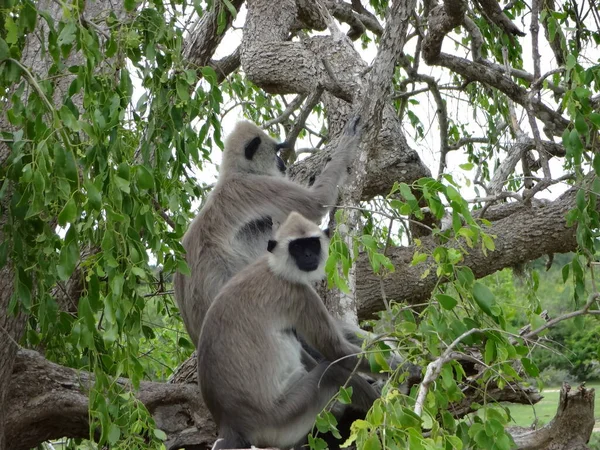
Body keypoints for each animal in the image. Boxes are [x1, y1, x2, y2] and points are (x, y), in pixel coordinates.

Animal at [173, 117, 360, 348]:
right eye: (275, 152)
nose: (282, 163)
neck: (235, 174)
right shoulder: (257, 186)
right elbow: (316, 203)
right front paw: (348, 140)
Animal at [199, 212, 378, 450]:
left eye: (312, 244)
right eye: (297, 247)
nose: (309, 255)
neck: (274, 269)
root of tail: (230, 422)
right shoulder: (297, 293)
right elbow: (337, 350)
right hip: (282, 419)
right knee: (332, 372)